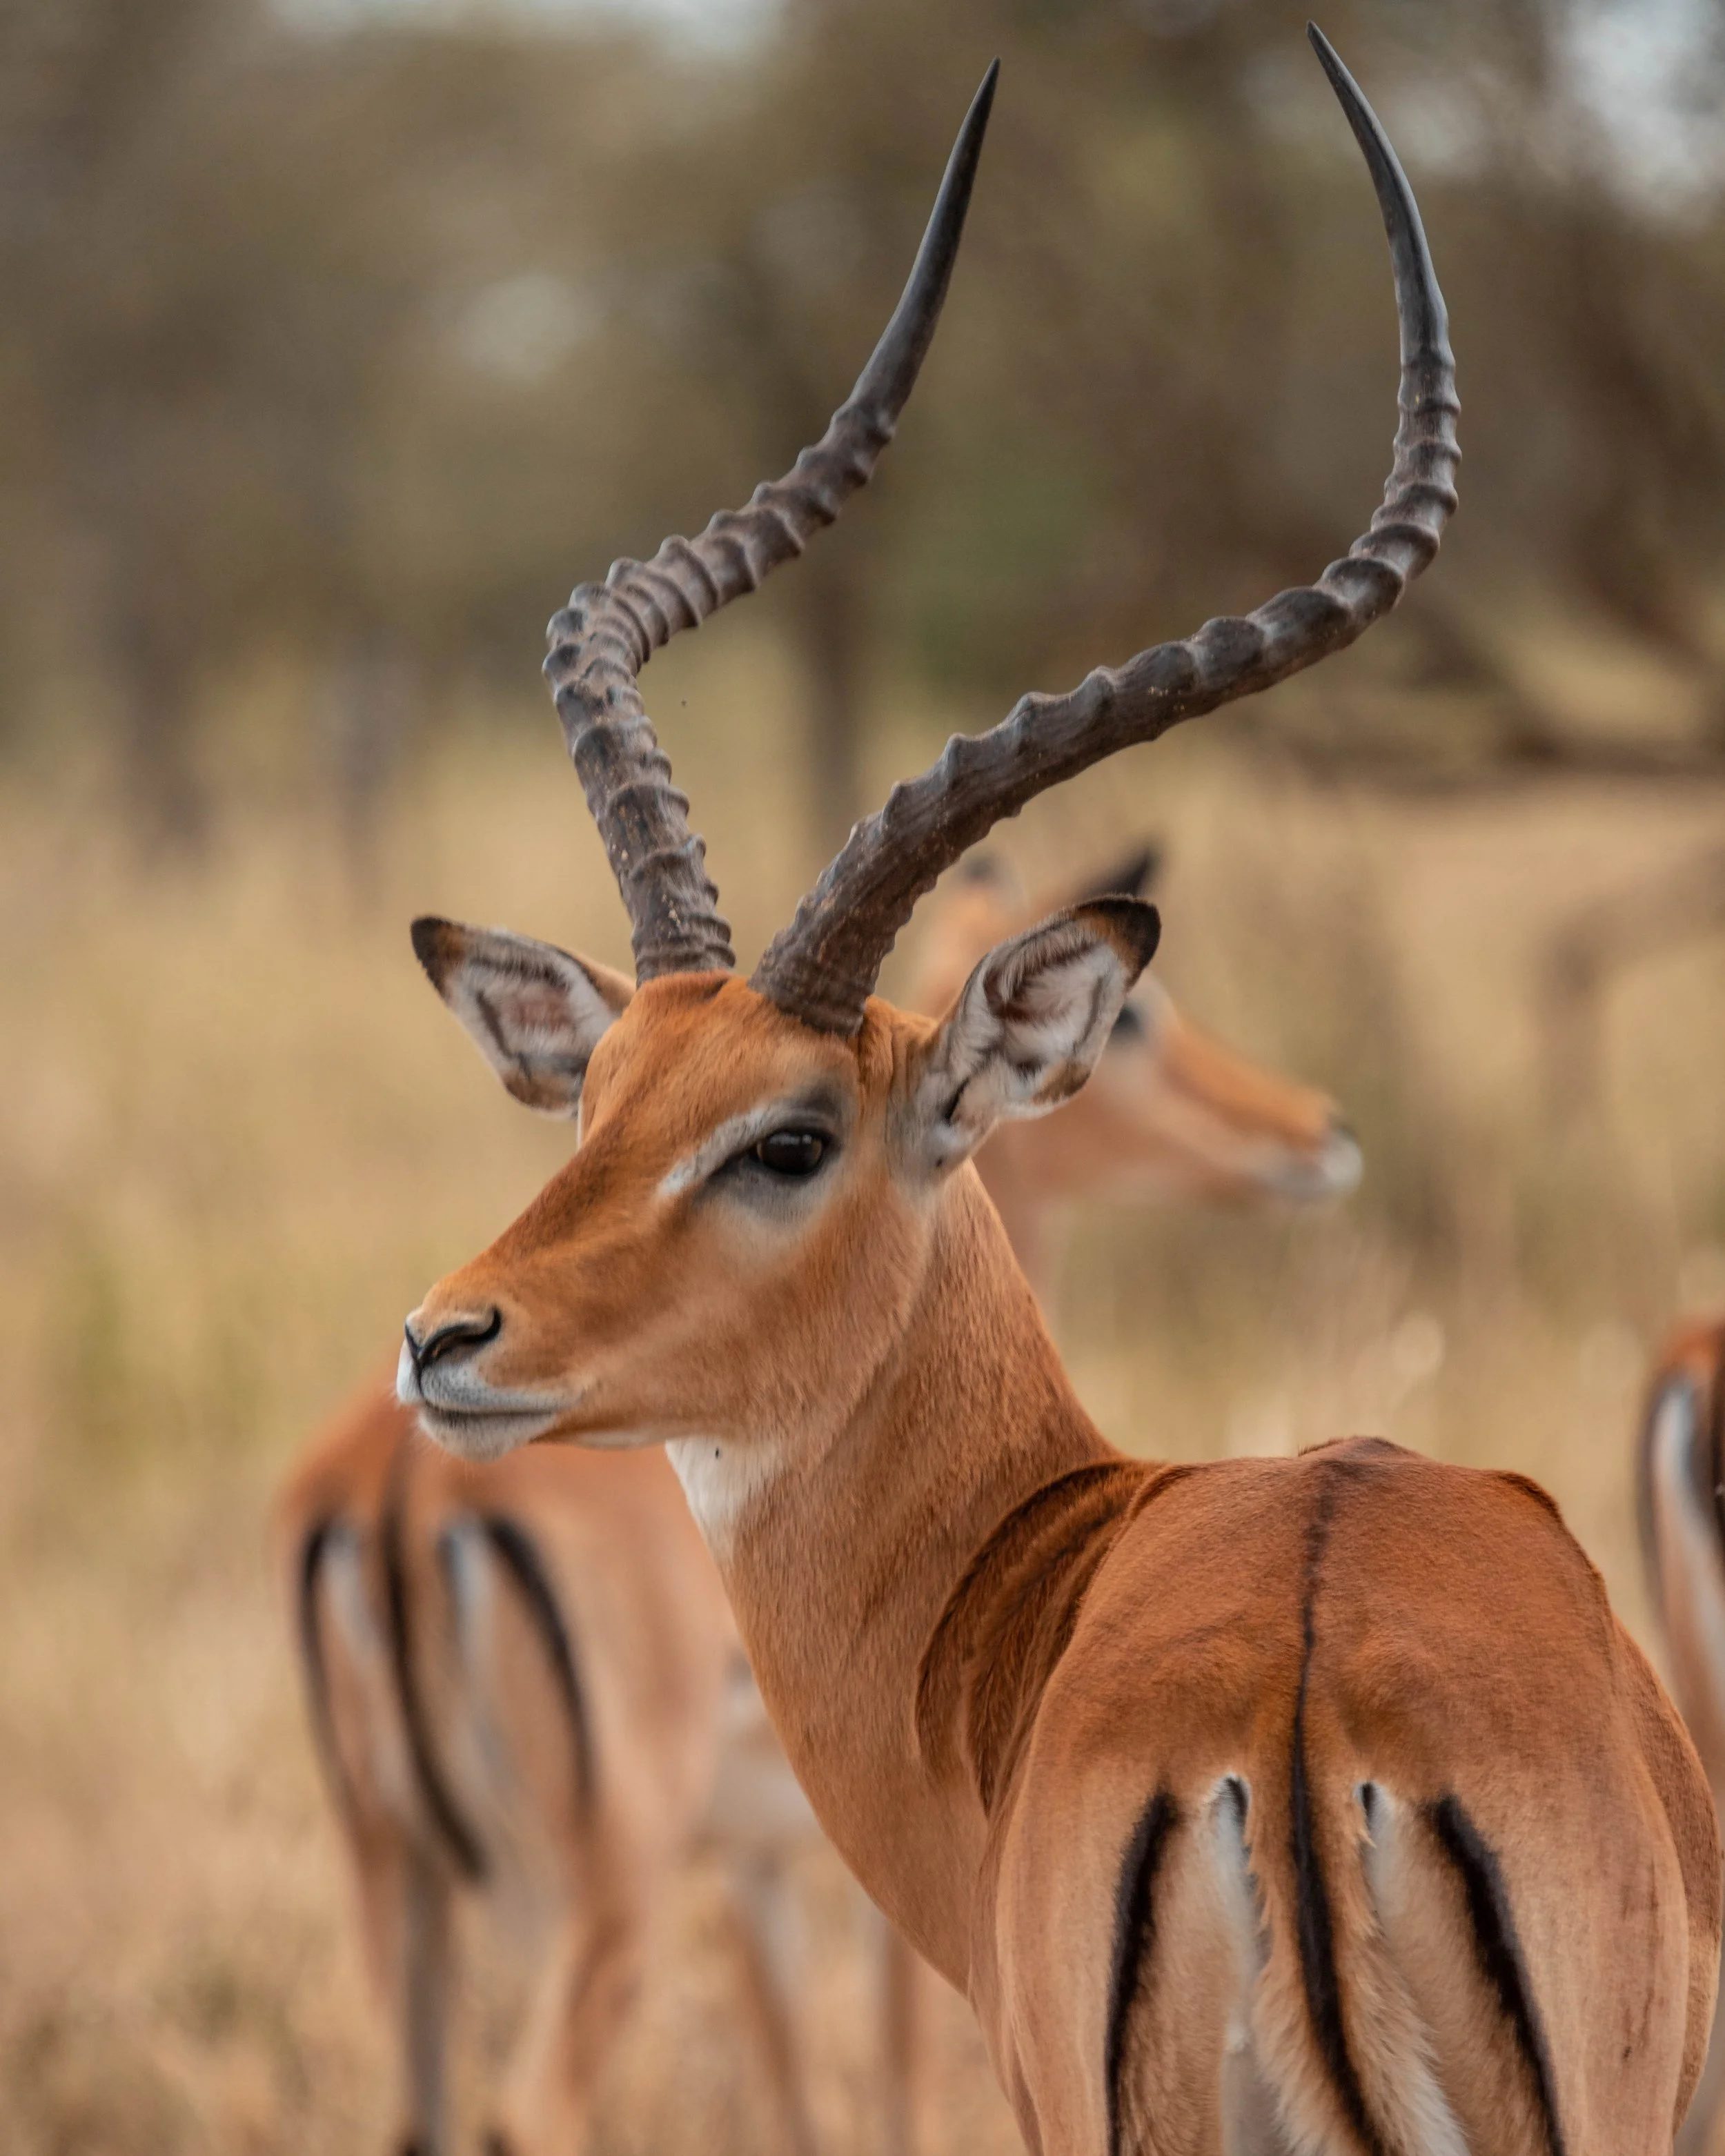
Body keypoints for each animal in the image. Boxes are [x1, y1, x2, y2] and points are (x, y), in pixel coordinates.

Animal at [281, 844, 1360, 2156]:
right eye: (1147, 1020)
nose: (1320, 1129)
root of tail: (397, 1481)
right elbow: (894, 2084)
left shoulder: (757, 1867)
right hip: (602, 1885)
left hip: (396, 1880)